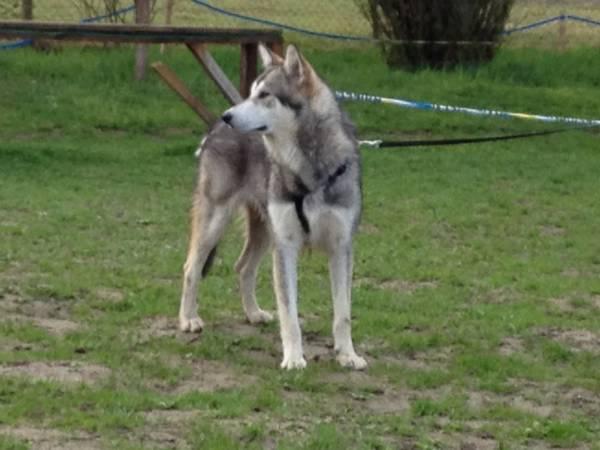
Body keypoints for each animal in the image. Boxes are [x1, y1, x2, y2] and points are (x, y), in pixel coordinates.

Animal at [178, 44, 366, 370]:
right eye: (250, 92)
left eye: (265, 94)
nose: (227, 115)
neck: (308, 171)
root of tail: (214, 130)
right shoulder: (286, 246)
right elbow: (289, 314)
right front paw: (293, 358)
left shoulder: (341, 247)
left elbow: (343, 313)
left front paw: (347, 355)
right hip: (216, 222)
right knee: (192, 267)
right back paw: (188, 319)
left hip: (265, 231)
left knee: (243, 267)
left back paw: (253, 314)